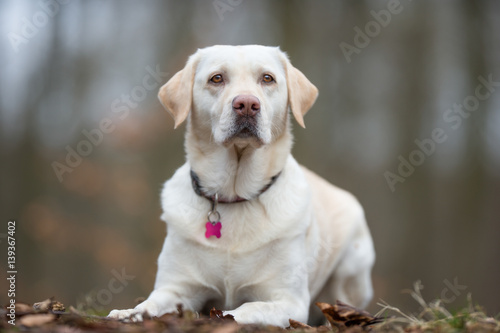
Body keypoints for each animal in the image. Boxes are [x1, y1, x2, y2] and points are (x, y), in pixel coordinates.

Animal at [109, 44, 376, 326]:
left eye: (267, 78)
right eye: (217, 78)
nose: (247, 104)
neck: (234, 193)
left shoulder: (287, 301)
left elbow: (245, 309)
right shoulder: (175, 288)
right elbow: (151, 303)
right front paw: (129, 313)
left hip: (352, 266)